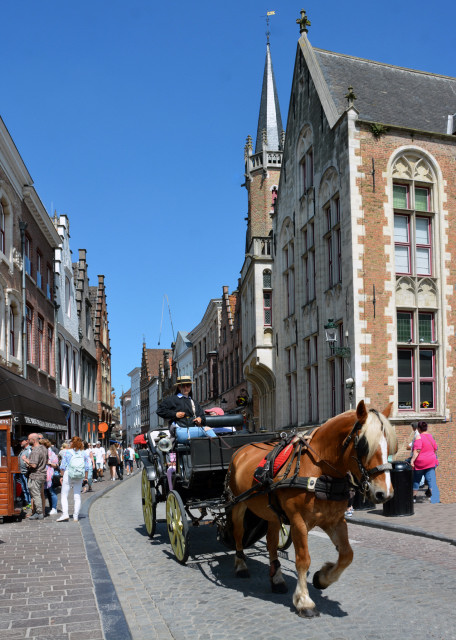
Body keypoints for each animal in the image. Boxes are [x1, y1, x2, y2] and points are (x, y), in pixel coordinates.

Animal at [230, 402, 398, 616]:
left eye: (390, 446)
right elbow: (303, 560)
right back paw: (240, 565)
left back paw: (277, 579)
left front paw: (322, 578)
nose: (384, 493)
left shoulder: (335, 520)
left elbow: (347, 554)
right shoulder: (298, 522)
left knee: (271, 542)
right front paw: (304, 601)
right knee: (238, 533)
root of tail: (241, 449)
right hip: (237, 504)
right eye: (363, 445)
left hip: (272, 514)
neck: (319, 472)